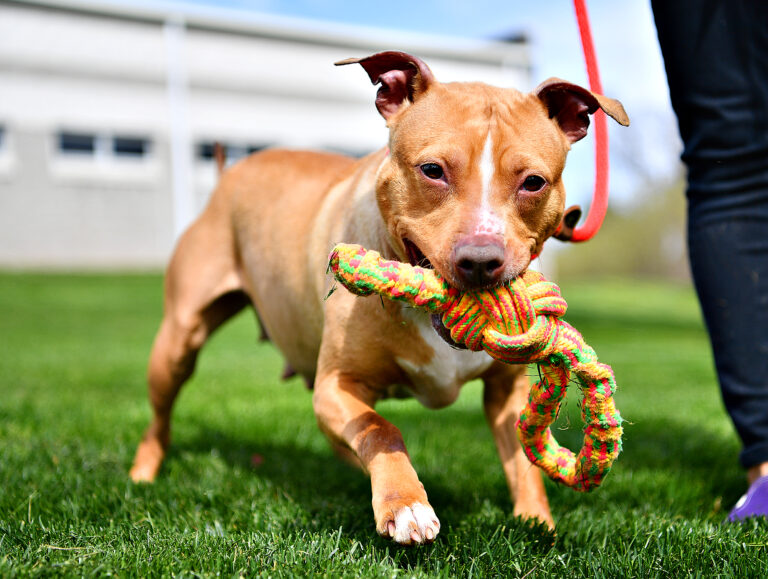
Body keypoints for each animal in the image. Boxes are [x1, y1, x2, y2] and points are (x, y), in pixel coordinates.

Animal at [129, 52, 628, 548]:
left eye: (534, 182)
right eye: (432, 170)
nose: (481, 260)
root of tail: (230, 172)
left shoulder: (506, 392)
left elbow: (524, 460)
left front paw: (537, 523)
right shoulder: (336, 385)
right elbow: (382, 430)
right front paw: (406, 505)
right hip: (177, 341)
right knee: (160, 416)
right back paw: (142, 475)